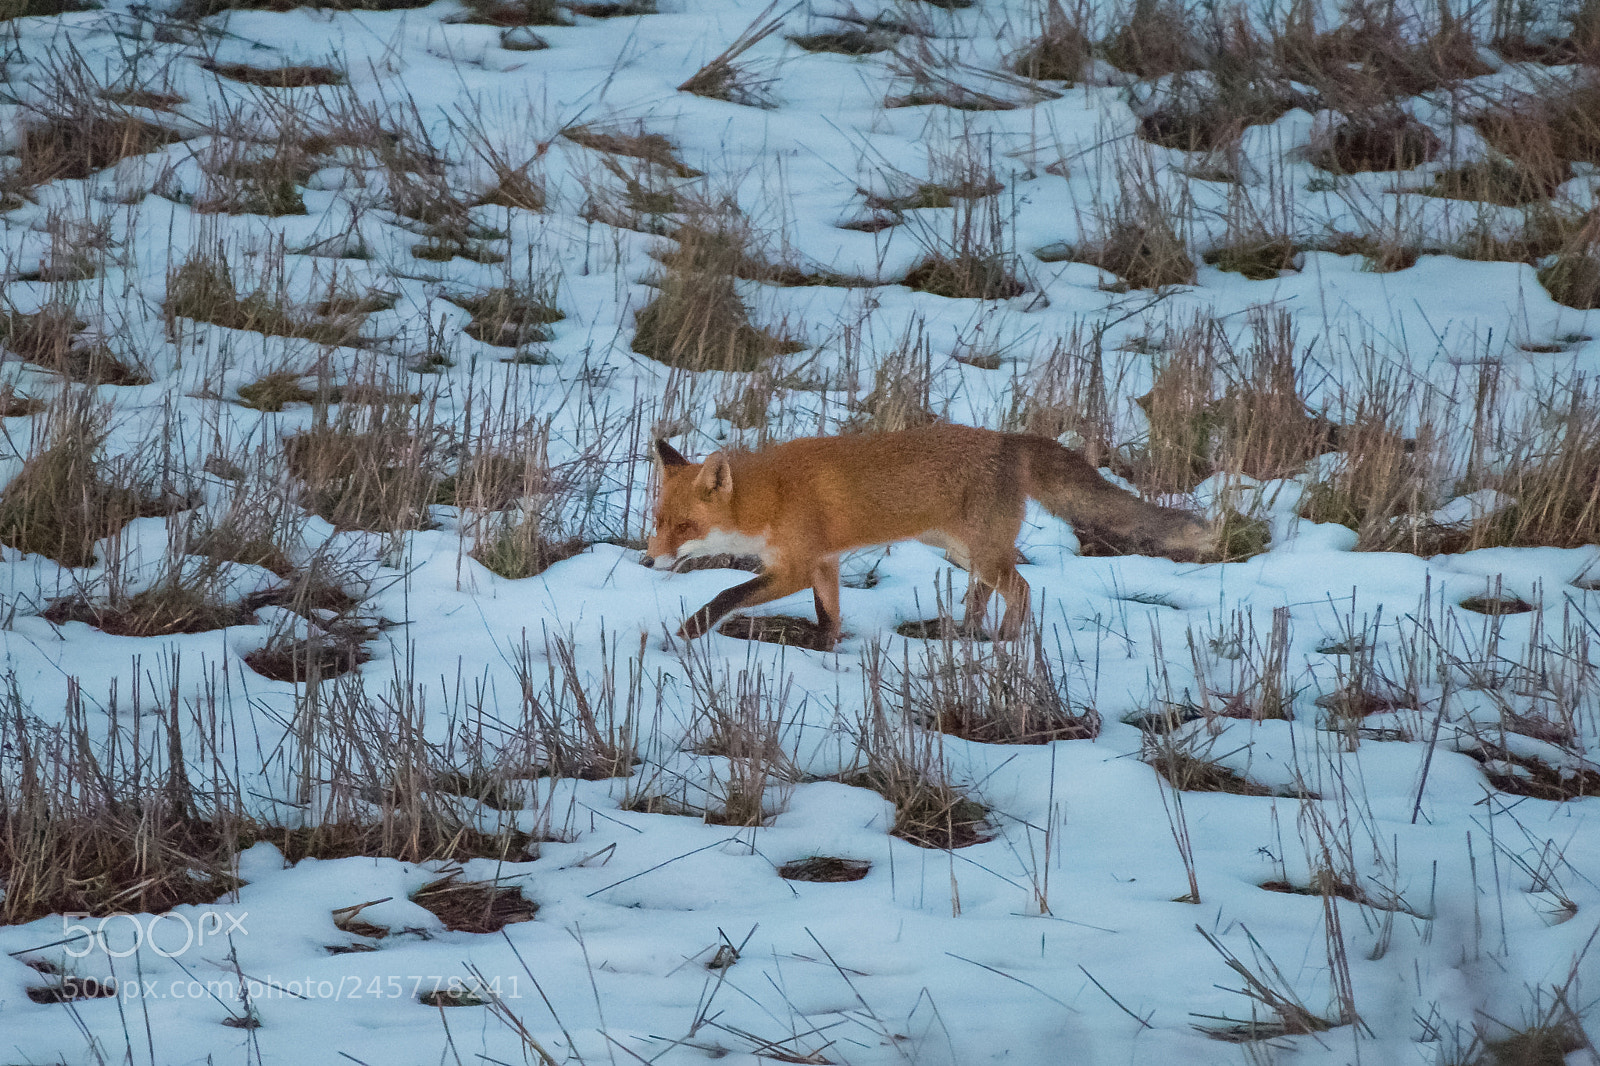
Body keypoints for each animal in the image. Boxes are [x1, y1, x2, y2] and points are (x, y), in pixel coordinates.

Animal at [645, 423, 1216, 651]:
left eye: (684, 527)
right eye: (657, 522)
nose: (647, 563)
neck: (770, 497)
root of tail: (1008, 438)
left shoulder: (794, 567)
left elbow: (726, 594)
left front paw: (689, 633)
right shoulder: (824, 563)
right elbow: (829, 617)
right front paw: (824, 651)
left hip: (980, 552)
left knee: (1022, 589)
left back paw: (1004, 645)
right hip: (962, 553)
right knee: (989, 591)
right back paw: (963, 633)